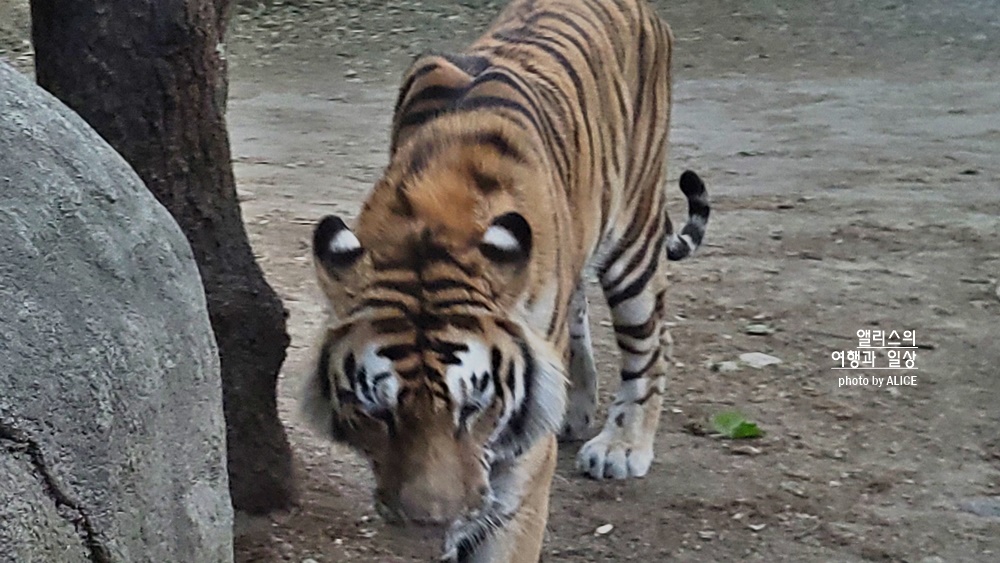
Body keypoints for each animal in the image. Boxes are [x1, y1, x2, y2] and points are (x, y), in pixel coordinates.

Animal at [298, 0, 712, 560]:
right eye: (378, 411)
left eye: (474, 408)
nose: (430, 522)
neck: (430, 227)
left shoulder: (519, 465)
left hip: (634, 233)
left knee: (651, 341)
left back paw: (622, 446)